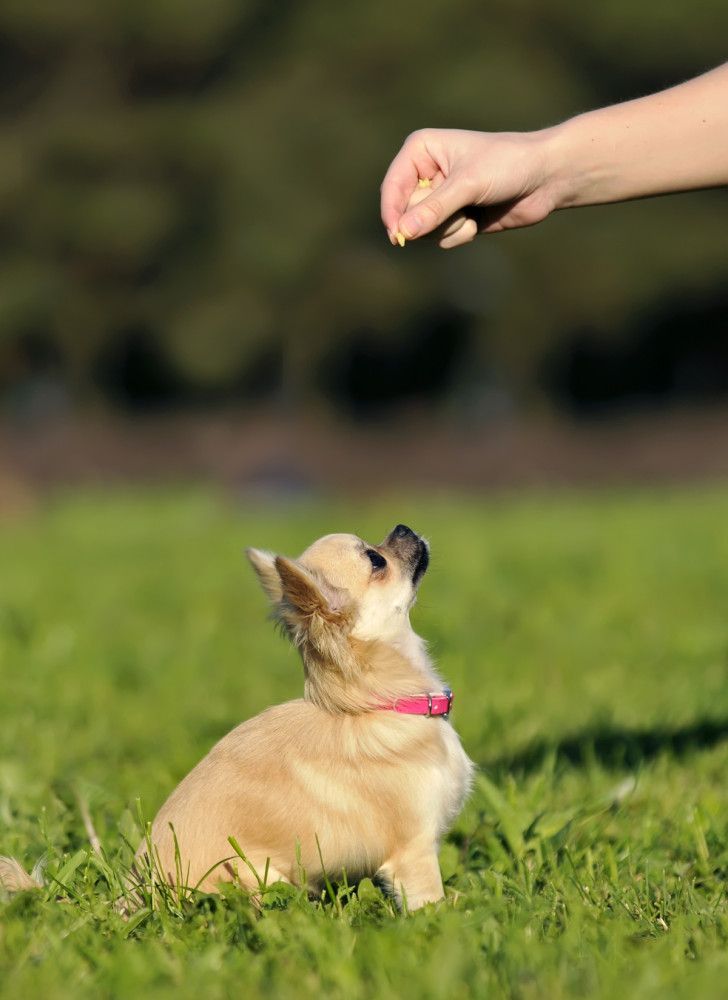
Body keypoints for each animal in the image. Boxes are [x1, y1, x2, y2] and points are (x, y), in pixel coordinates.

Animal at [134, 528, 474, 912]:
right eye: (376, 560)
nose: (402, 528)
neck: (382, 705)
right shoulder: (414, 853)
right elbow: (431, 905)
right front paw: (447, 918)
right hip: (257, 874)